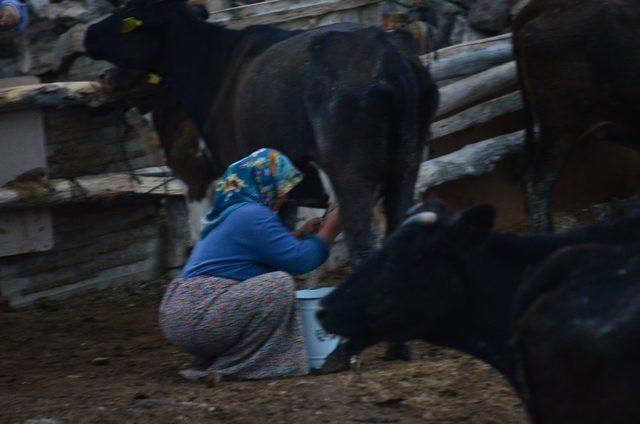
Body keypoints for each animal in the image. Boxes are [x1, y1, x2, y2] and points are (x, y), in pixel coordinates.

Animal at [84, 0, 440, 266]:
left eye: (129, 12)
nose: (89, 34)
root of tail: (389, 54)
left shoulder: (210, 176)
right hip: (405, 167)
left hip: (353, 177)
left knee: (363, 246)